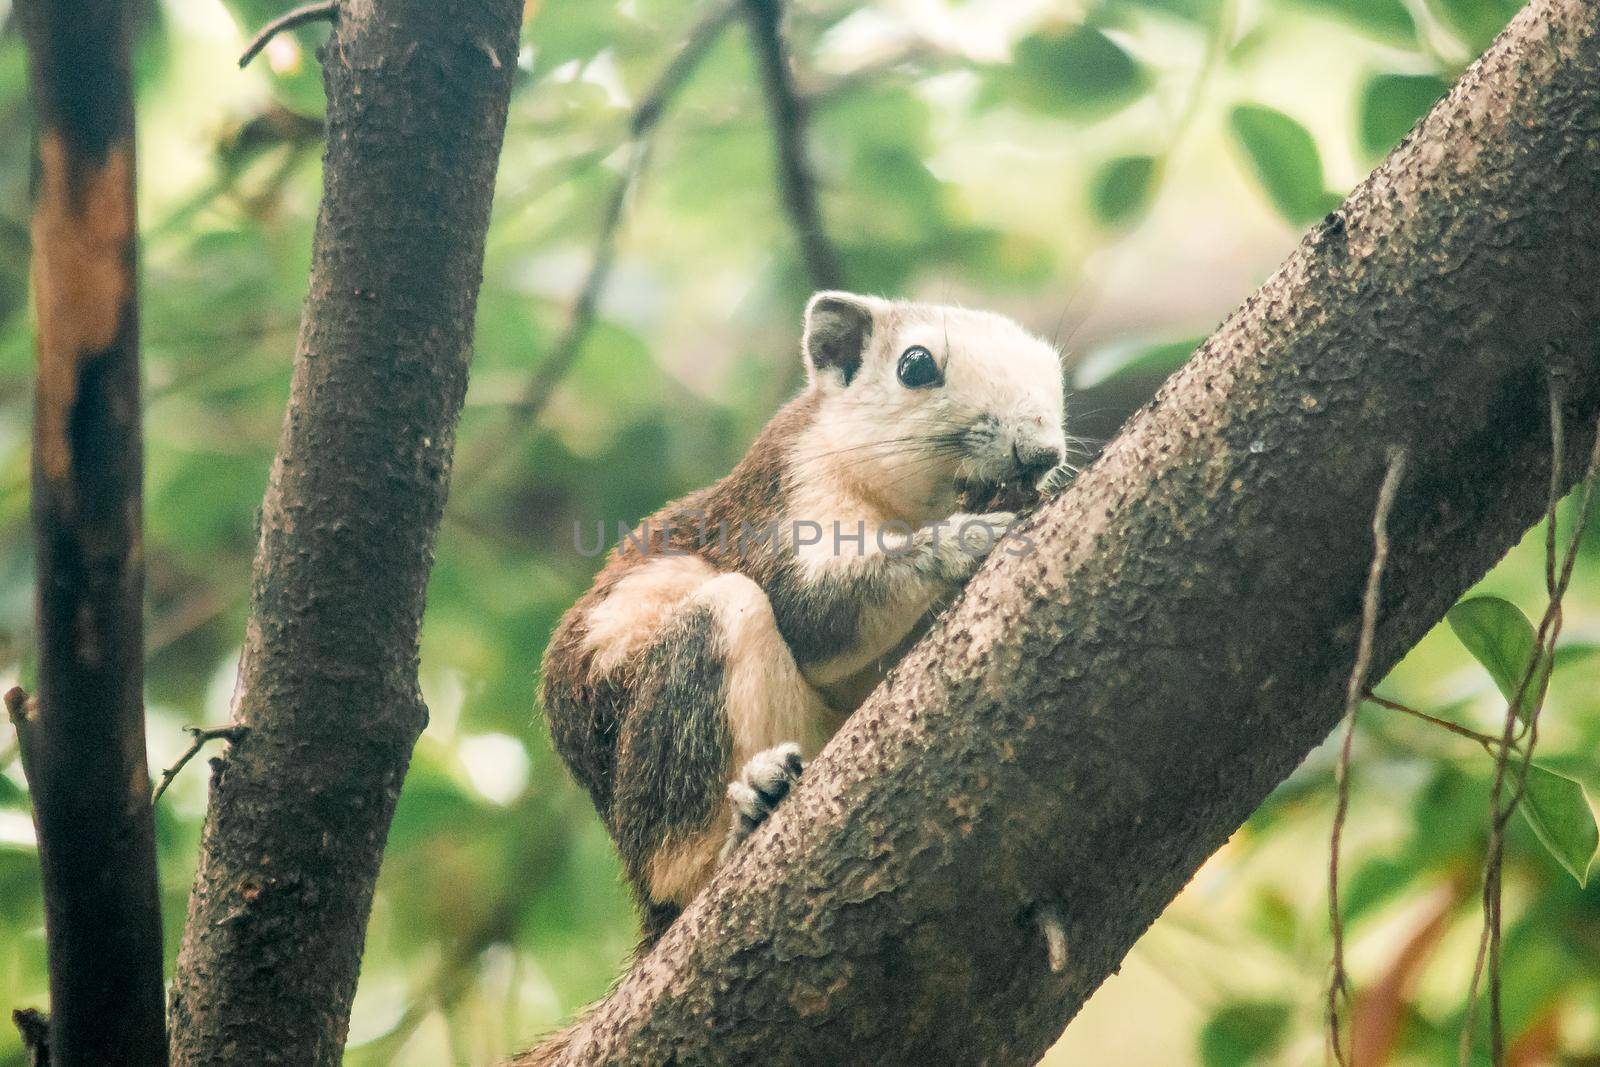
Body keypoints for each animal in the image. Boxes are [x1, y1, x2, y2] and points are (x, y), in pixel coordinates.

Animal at [534, 292, 1062, 953]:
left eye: (1056, 374)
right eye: (915, 365)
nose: (1045, 453)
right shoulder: (787, 494)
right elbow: (811, 616)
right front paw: (961, 540)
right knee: (677, 869)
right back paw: (741, 822)